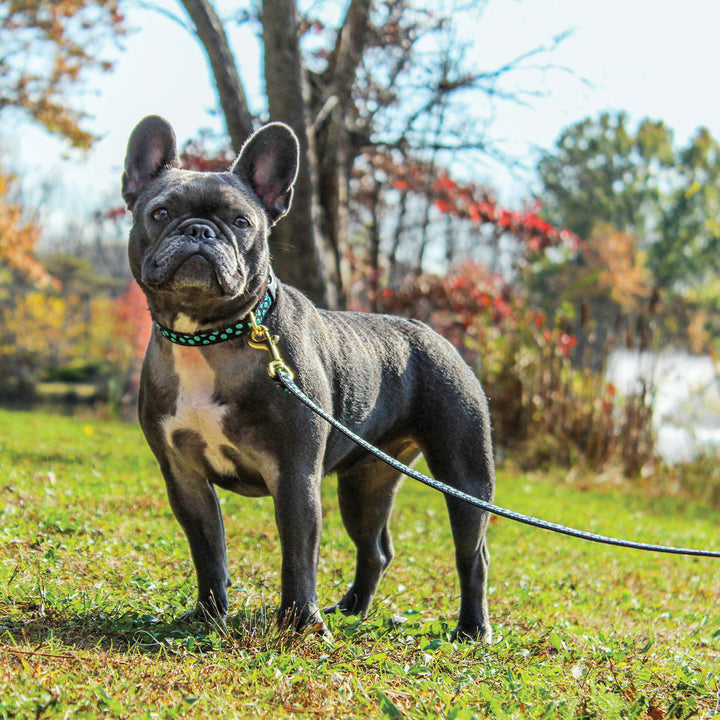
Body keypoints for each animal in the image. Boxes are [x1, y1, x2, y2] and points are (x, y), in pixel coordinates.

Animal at [122, 114, 496, 640]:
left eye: (241, 222)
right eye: (159, 213)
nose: (199, 230)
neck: (208, 336)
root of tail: (436, 336)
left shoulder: (295, 475)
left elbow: (298, 555)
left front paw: (301, 623)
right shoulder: (184, 477)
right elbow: (208, 549)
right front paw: (209, 614)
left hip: (465, 476)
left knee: (472, 555)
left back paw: (471, 629)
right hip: (366, 480)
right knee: (375, 549)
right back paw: (353, 609)